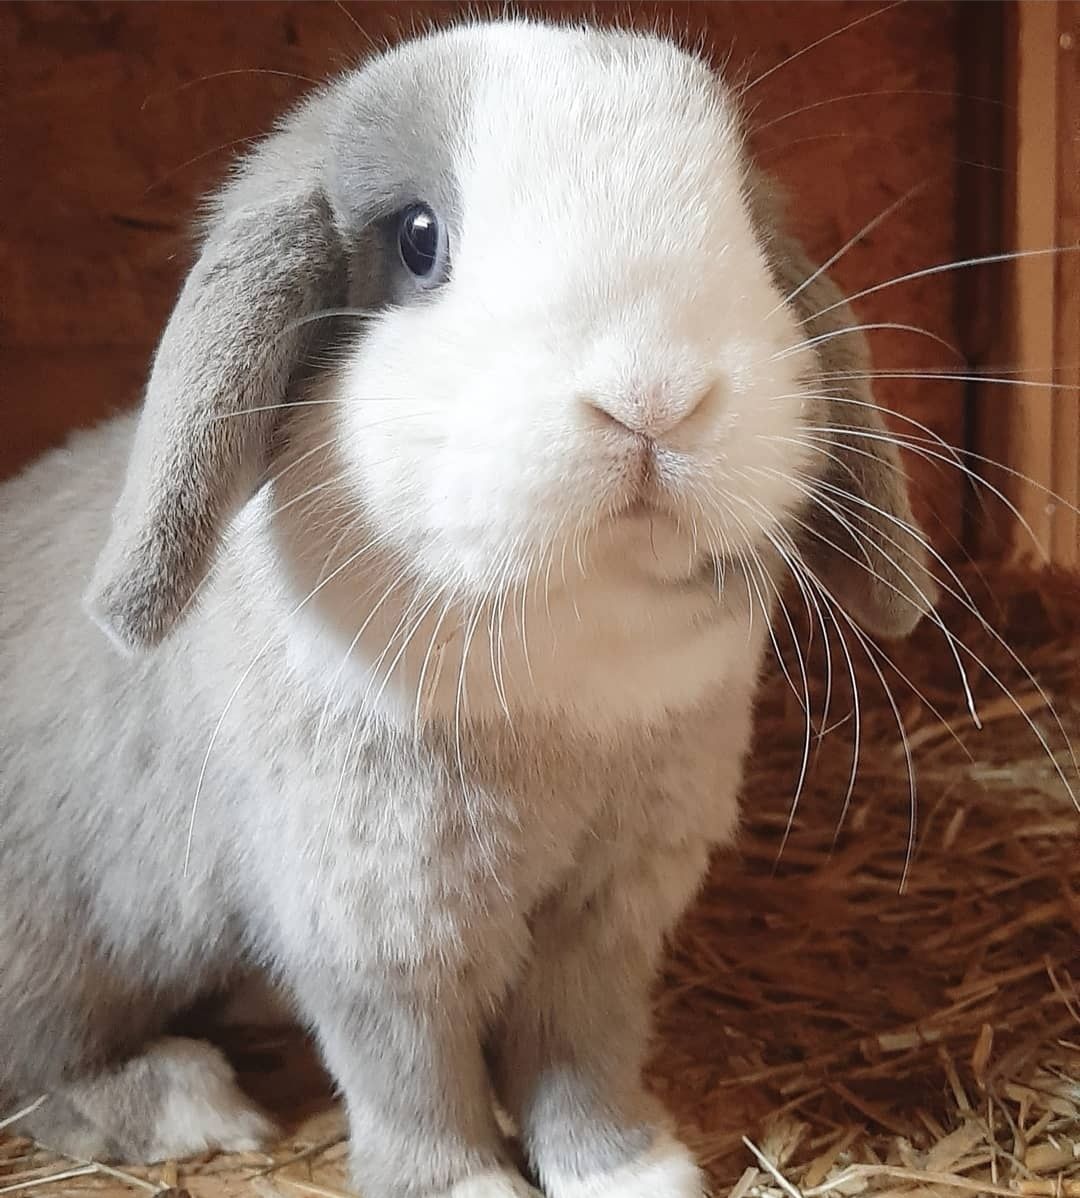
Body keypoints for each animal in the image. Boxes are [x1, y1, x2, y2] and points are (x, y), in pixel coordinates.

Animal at [0, 16, 938, 1198]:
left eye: (742, 225)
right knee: (43, 1067)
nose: (654, 396)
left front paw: (631, 1169)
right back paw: (185, 1103)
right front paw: (461, 1183)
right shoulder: (378, 918)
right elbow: (410, 1068)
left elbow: (583, 1045)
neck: (566, 680)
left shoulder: (610, 907)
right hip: (57, 945)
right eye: (417, 241)